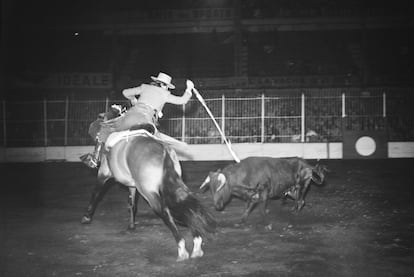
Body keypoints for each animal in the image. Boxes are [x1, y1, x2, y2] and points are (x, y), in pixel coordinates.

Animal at [81, 129, 217, 258]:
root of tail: (163, 150)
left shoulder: (103, 173)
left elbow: (96, 194)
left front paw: (86, 217)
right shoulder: (132, 185)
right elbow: (131, 204)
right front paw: (131, 225)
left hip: (148, 192)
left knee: (166, 212)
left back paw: (182, 249)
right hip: (172, 184)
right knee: (183, 207)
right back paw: (196, 244)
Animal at [199, 155, 328, 222]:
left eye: (220, 188)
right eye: (211, 189)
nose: (217, 206)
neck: (246, 173)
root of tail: (308, 165)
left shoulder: (264, 192)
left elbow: (261, 209)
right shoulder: (252, 195)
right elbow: (248, 208)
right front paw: (242, 220)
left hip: (301, 185)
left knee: (301, 201)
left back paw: (295, 214)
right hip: (292, 190)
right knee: (299, 200)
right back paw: (292, 210)